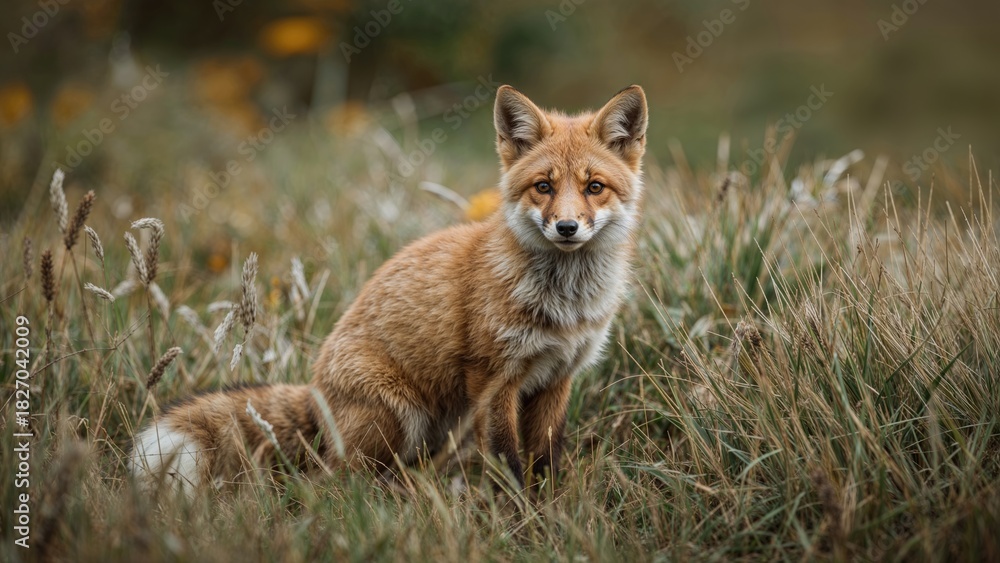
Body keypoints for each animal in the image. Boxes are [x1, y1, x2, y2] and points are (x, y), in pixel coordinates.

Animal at [130, 84, 648, 493]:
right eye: (543, 186)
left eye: (594, 187)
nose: (566, 227)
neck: (564, 306)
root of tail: (316, 390)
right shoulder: (494, 380)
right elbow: (507, 464)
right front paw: (517, 518)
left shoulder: (557, 378)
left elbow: (546, 460)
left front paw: (551, 512)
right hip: (400, 418)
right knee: (328, 483)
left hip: (436, 426)